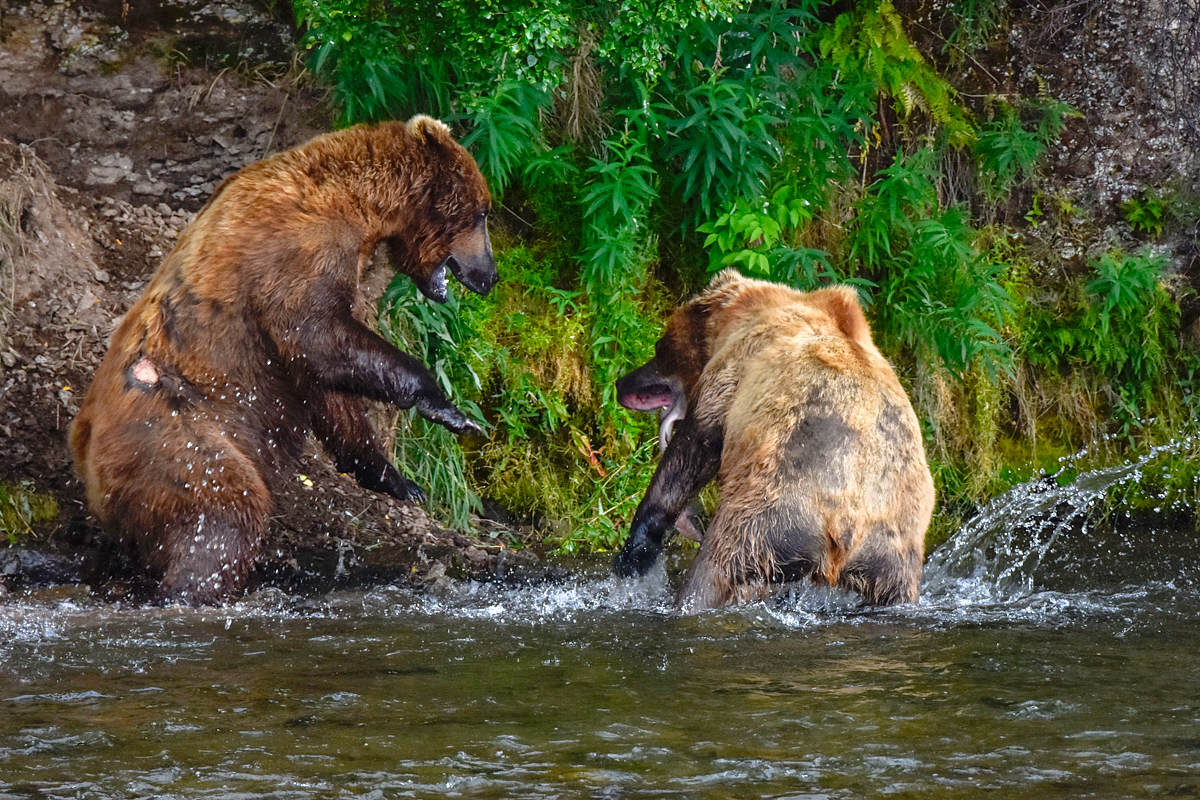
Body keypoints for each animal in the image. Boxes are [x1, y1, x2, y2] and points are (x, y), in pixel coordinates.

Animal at [68, 115, 499, 606]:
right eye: (483, 212)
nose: (490, 275)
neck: (365, 206)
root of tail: (83, 446)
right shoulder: (301, 249)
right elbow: (317, 337)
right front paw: (447, 408)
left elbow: (327, 388)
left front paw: (399, 480)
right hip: (176, 433)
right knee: (222, 512)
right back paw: (192, 588)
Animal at [614, 268, 931, 614]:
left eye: (660, 347)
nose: (622, 383)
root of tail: (846, 529)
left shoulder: (730, 373)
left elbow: (690, 453)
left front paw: (634, 553)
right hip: (893, 555)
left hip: (768, 516)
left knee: (714, 569)